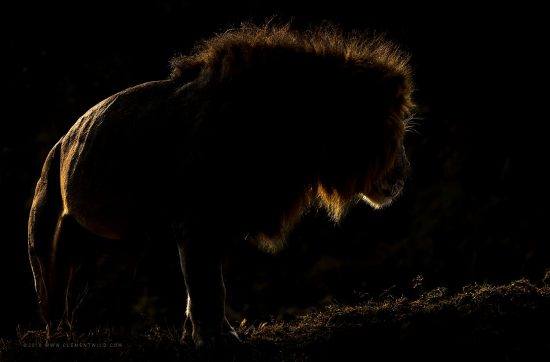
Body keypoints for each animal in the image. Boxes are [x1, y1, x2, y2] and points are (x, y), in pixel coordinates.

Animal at [25, 23, 414, 348]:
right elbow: (208, 284)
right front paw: (216, 338)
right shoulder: (197, 222)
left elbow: (202, 286)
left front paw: (194, 334)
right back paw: (59, 336)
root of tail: (58, 144)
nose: (404, 173)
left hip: (94, 243)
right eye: (394, 135)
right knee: (49, 291)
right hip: (44, 233)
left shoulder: (221, 221)